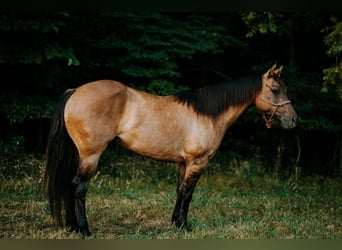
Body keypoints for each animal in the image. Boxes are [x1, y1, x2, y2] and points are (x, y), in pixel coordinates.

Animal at [44, 64, 296, 236]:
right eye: (275, 90)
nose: (293, 119)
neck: (207, 114)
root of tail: (75, 91)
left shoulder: (184, 163)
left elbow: (179, 191)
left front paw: (175, 223)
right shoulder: (197, 162)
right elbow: (188, 194)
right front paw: (184, 225)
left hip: (79, 154)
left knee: (68, 183)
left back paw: (72, 227)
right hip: (91, 155)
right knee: (79, 187)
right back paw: (84, 230)